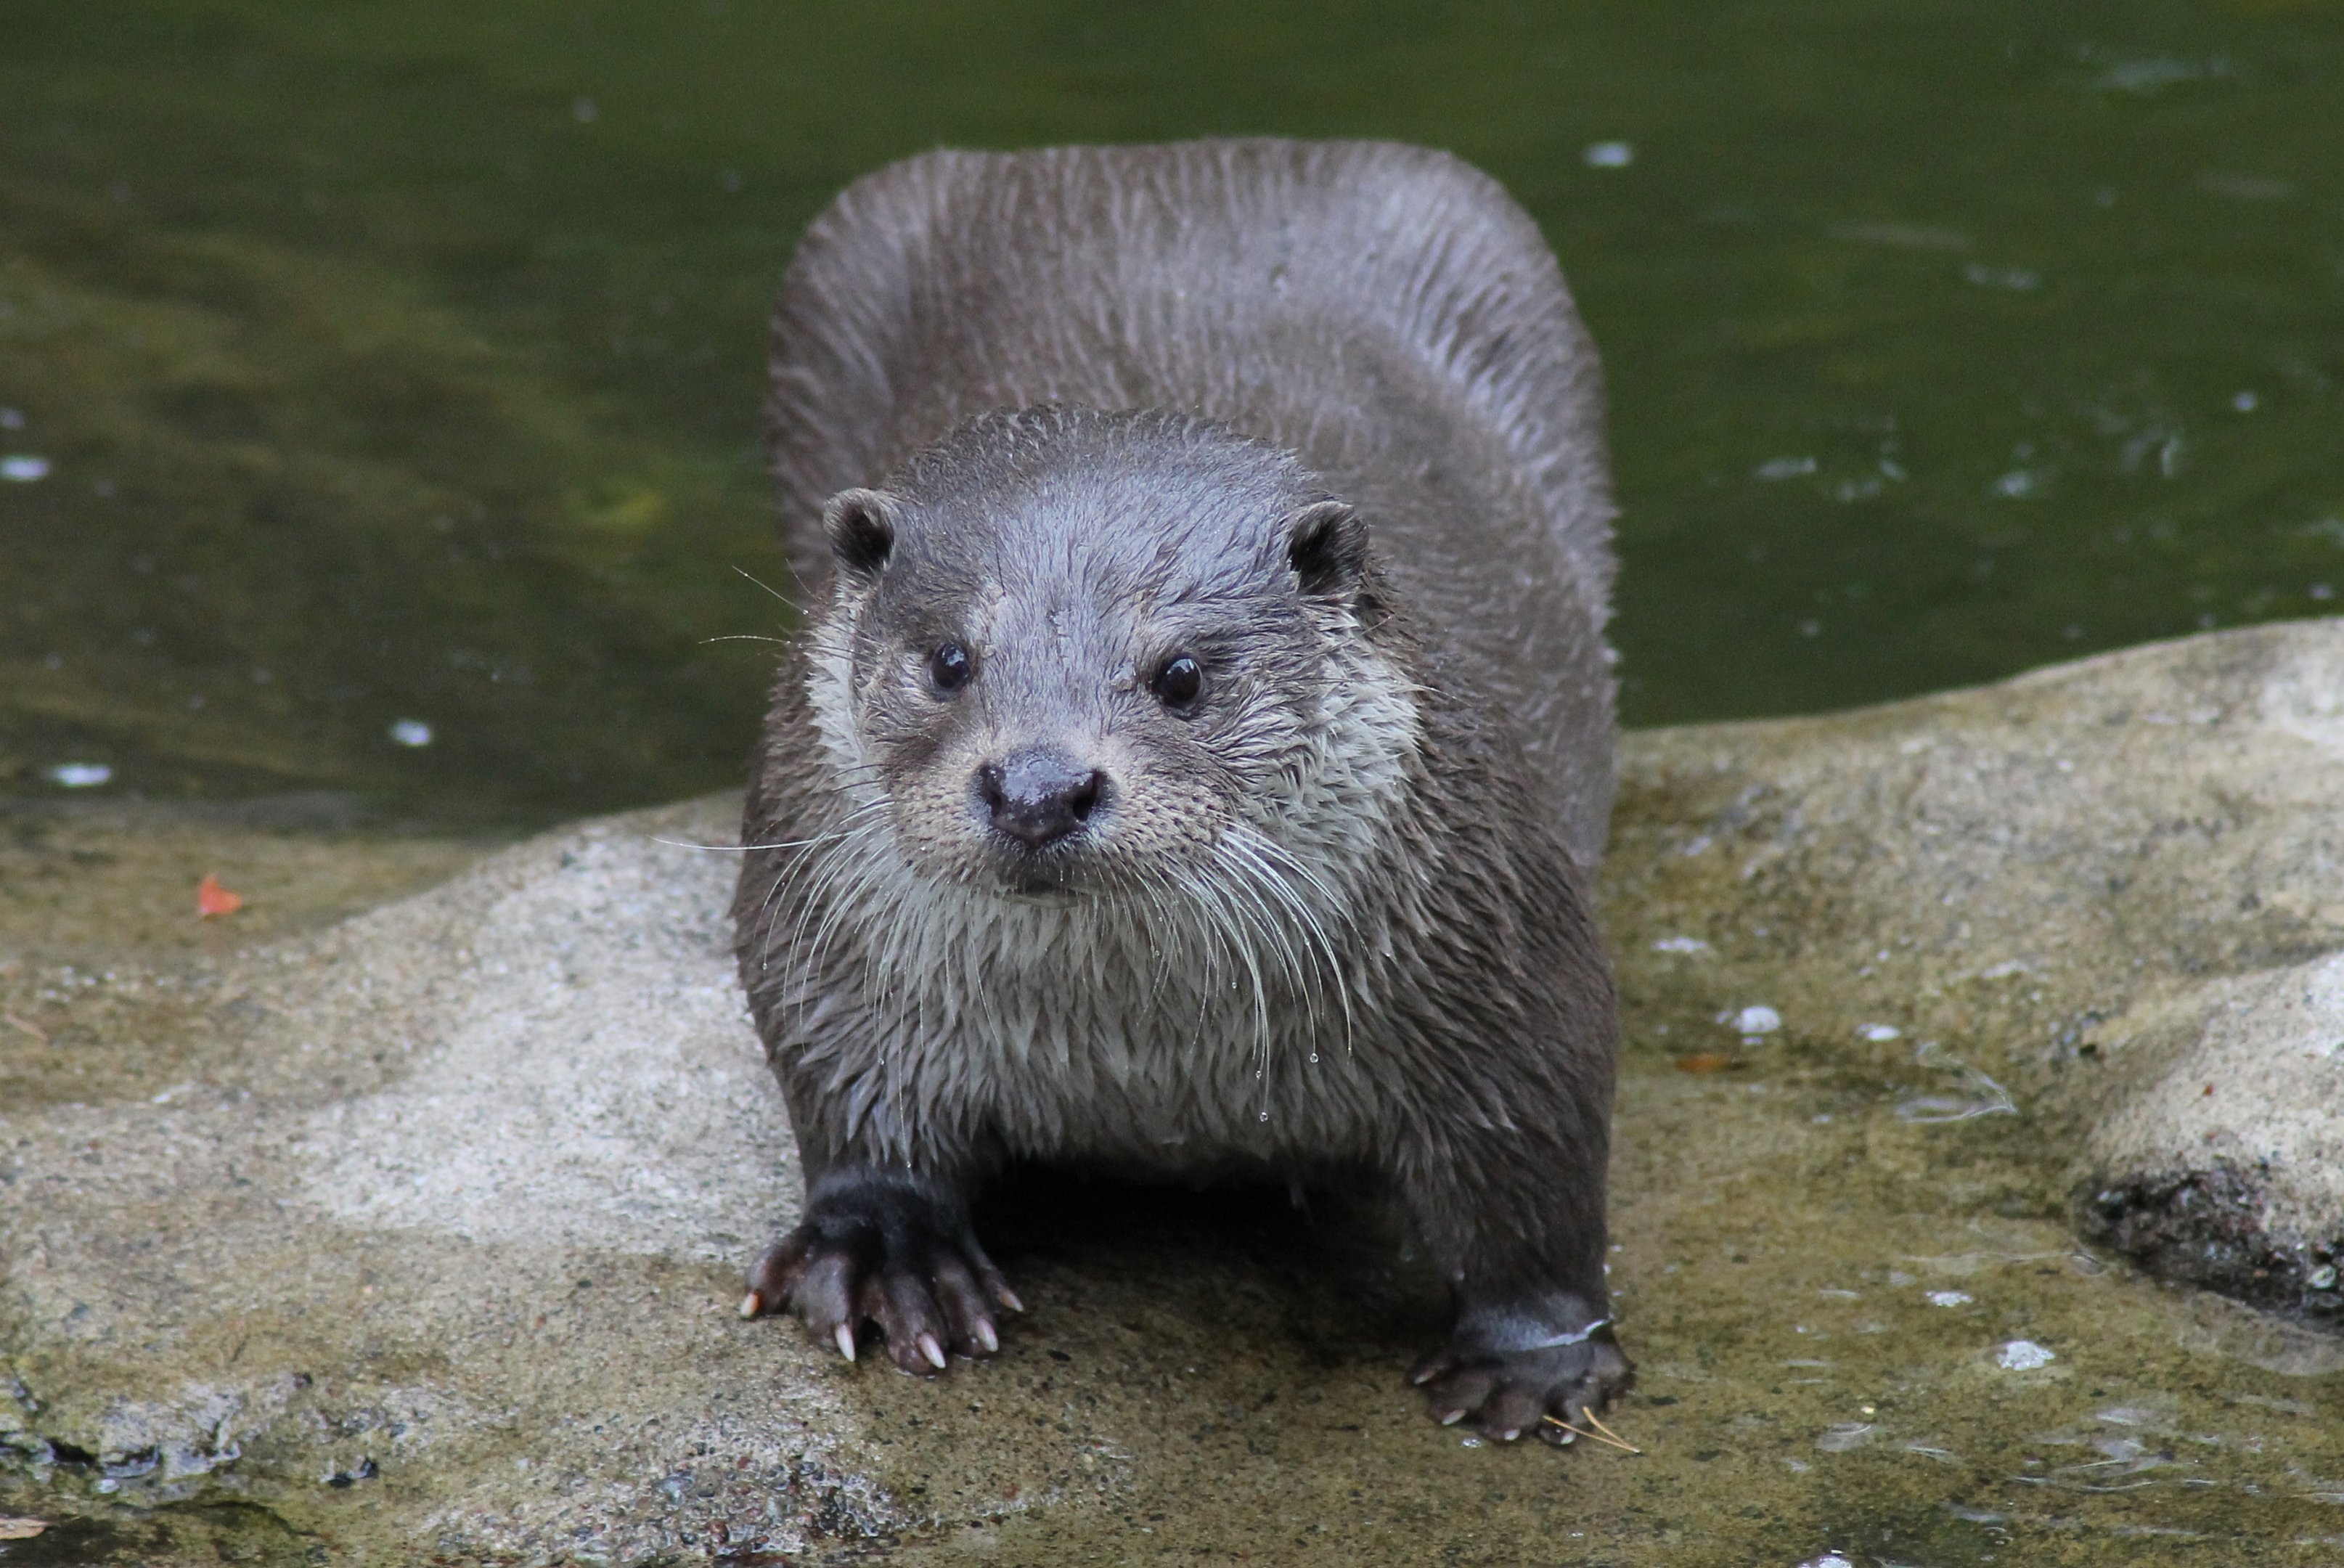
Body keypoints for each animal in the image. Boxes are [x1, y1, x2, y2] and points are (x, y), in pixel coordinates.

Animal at [733, 139, 1628, 1444]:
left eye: (1183, 674)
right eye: (949, 659)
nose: (1039, 785)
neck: (1147, 1065)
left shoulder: (1502, 938)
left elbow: (1536, 1168)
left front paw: (1534, 1357)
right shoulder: (824, 928)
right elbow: (838, 1074)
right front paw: (887, 1247)